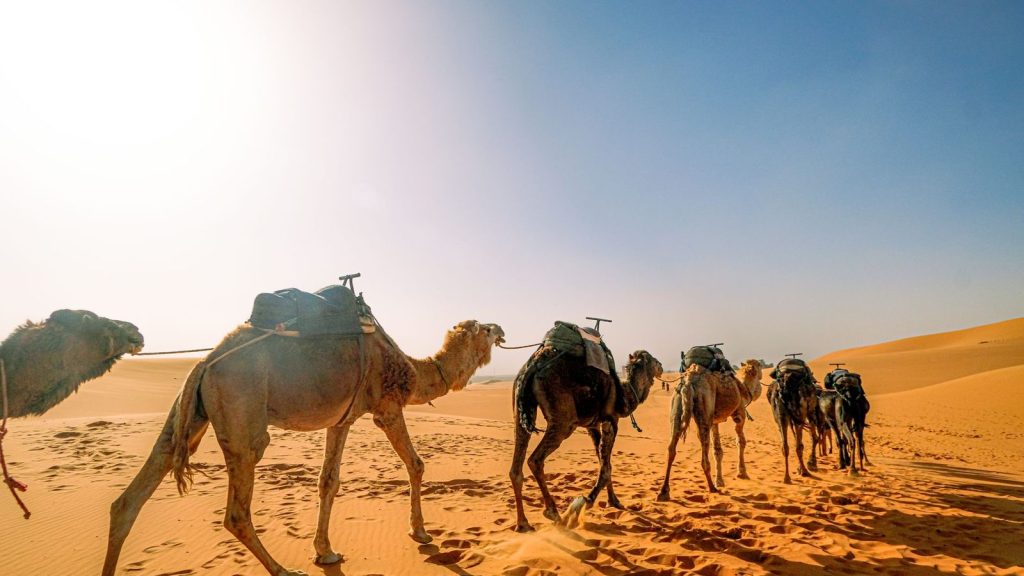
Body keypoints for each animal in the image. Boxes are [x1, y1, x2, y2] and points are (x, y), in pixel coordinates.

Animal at [103, 319, 504, 576]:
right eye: (484, 328)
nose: (501, 330)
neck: (411, 369)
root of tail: (205, 362)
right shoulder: (387, 407)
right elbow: (417, 464)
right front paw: (420, 532)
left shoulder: (342, 419)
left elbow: (328, 481)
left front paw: (325, 552)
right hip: (242, 413)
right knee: (236, 511)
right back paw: (284, 570)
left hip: (190, 415)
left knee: (130, 499)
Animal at [510, 349, 663, 532]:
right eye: (652, 360)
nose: (661, 366)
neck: (625, 394)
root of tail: (532, 367)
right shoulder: (611, 421)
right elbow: (606, 467)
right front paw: (585, 501)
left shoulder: (593, 426)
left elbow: (604, 461)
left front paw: (614, 501)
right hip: (563, 421)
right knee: (535, 459)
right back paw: (553, 512)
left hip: (521, 408)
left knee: (516, 467)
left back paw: (523, 523)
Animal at [657, 359, 764, 498]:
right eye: (759, 366)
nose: (762, 375)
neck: (743, 388)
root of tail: (689, 381)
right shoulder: (740, 413)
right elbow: (740, 441)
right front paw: (742, 473)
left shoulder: (715, 422)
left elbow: (717, 450)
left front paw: (720, 481)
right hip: (704, 405)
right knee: (704, 449)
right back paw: (712, 487)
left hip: (677, 402)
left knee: (671, 447)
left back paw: (664, 491)